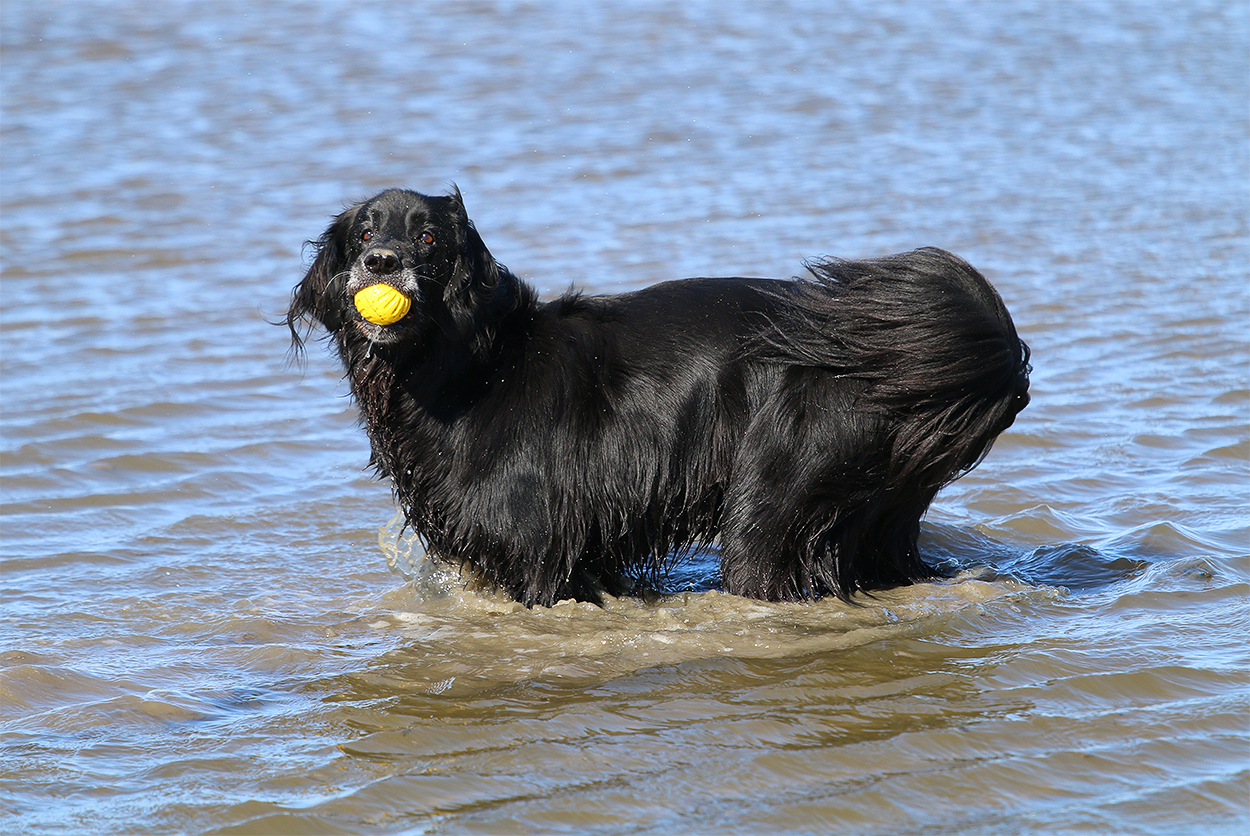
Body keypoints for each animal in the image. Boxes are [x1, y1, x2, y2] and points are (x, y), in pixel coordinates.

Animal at [285, 187, 1030, 607]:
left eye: (429, 237)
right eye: (364, 232)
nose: (380, 263)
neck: (471, 368)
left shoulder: (537, 553)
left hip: (771, 509)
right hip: (878, 519)